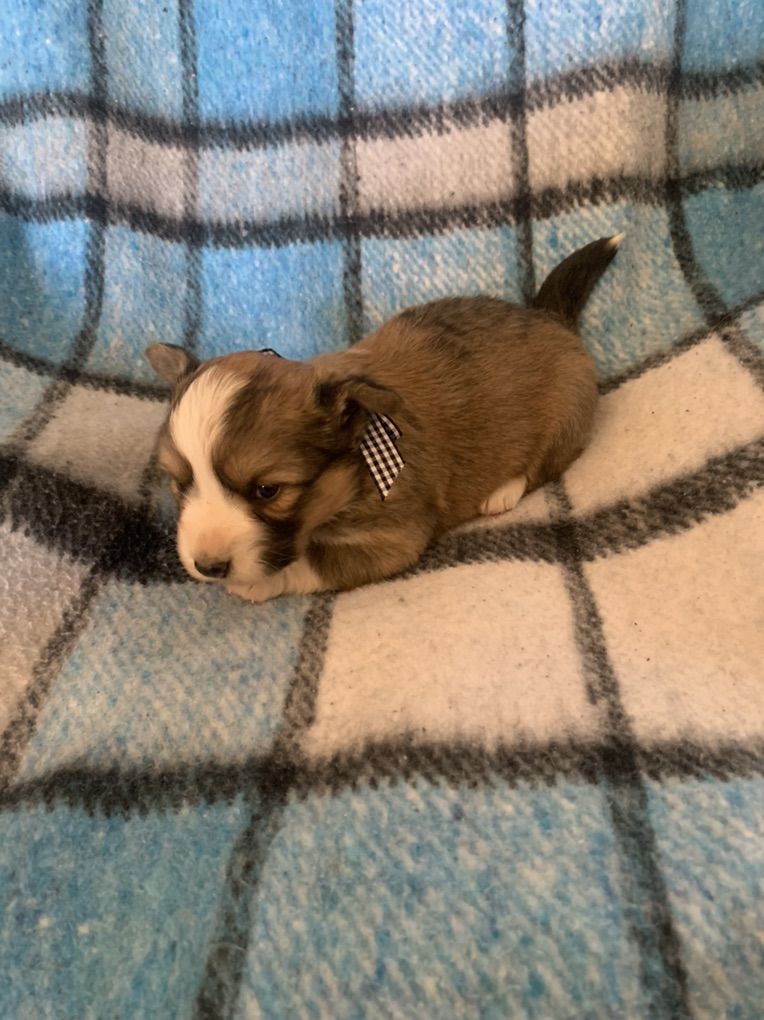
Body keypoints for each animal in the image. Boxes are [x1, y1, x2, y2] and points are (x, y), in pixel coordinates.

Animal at [145, 235, 620, 602]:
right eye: (179, 483)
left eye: (268, 491)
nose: (208, 566)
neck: (359, 464)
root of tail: (549, 317)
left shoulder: (393, 538)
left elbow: (316, 563)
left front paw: (258, 583)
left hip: (565, 417)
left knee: (542, 466)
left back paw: (501, 491)